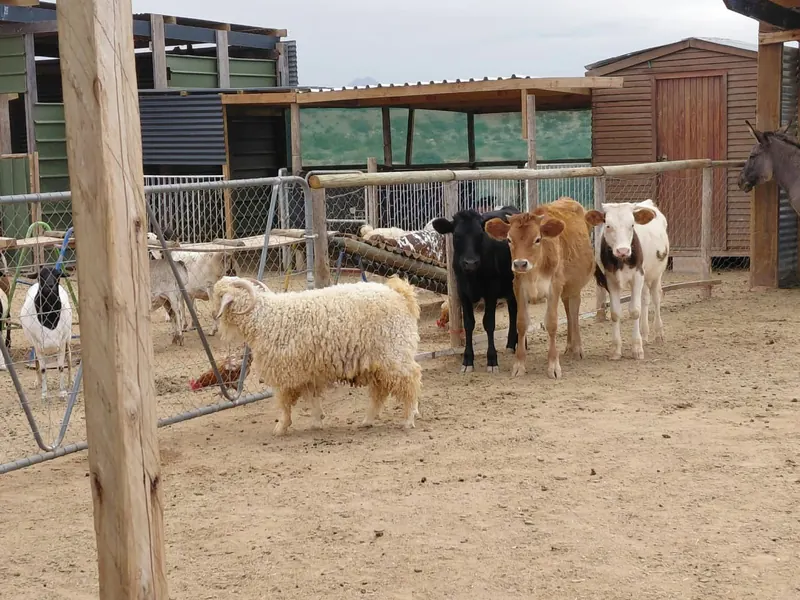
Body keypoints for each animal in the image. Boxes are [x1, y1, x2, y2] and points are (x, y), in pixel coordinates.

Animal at [431, 205, 521, 373]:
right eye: (457, 235)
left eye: (480, 234)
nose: (470, 262)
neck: (472, 277)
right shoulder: (463, 293)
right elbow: (468, 324)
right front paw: (467, 360)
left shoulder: (491, 291)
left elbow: (489, 323)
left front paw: (492, 360)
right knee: (513, 310)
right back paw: (511, 344)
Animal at [485, 197, 595, 379]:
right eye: (509, 239)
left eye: (537, 239)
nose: (520, 264)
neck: (535, 270)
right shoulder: (519, 287)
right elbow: (521, 323)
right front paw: (519, 365)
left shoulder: (554, 286)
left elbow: (551, 323)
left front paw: (553, 366)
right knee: (568, 311)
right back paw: (569, 346)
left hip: (575, 285)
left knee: (574, 312)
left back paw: (577, 348)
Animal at [585, 199, 669, 361]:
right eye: (608, 225)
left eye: (632, 225)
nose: (622, 250)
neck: (621, 261)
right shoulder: (610, 280)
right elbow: (615, 313)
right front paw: (616, 350)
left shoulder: (637, 276)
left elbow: (635, 311)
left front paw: (637, 348)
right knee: (645, 299)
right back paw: (644, 334)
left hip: (656, 273)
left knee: (656, 298)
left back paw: (659, 333)